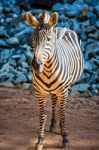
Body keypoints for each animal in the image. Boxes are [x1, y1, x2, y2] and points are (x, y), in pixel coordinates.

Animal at [19, 9, 84, 149]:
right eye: (33, 39)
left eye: (48, 39)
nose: (36, 65)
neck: (48, 70)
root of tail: (62, 27)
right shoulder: (39, 92)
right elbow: (42, 115)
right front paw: (40, 140)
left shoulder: (63, 91)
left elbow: (63, 114)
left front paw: (65, 139)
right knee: (55, 102)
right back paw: (54, 124)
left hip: (66, 87)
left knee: (61, 107)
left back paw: (60, 127)